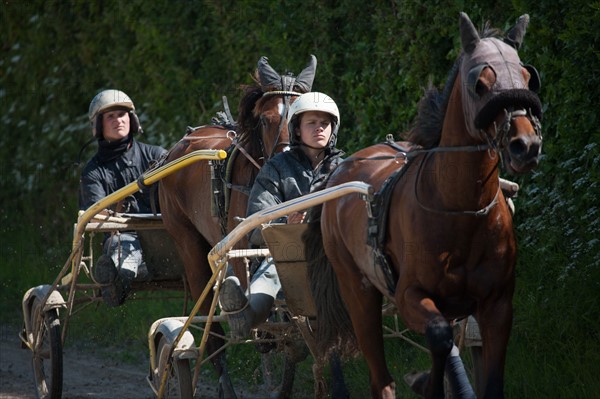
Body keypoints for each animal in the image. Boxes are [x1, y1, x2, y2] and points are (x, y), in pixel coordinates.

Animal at [159, 54, 318, 398]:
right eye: (265, 119)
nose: (290, 158)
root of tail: (180, 145)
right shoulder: (242, 242)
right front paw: (269, 338)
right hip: (188, 244)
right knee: (212, 328)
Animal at [308, 12, 540, 399]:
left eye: (526, 76)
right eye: (480, 83)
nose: (526, 145)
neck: (459, 207)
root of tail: (341, 168)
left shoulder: (497, 304)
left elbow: (487, 375)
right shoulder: (408, 295)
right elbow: (439, 334)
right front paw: (425, 383)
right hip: (357, 289)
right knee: (380, 376)